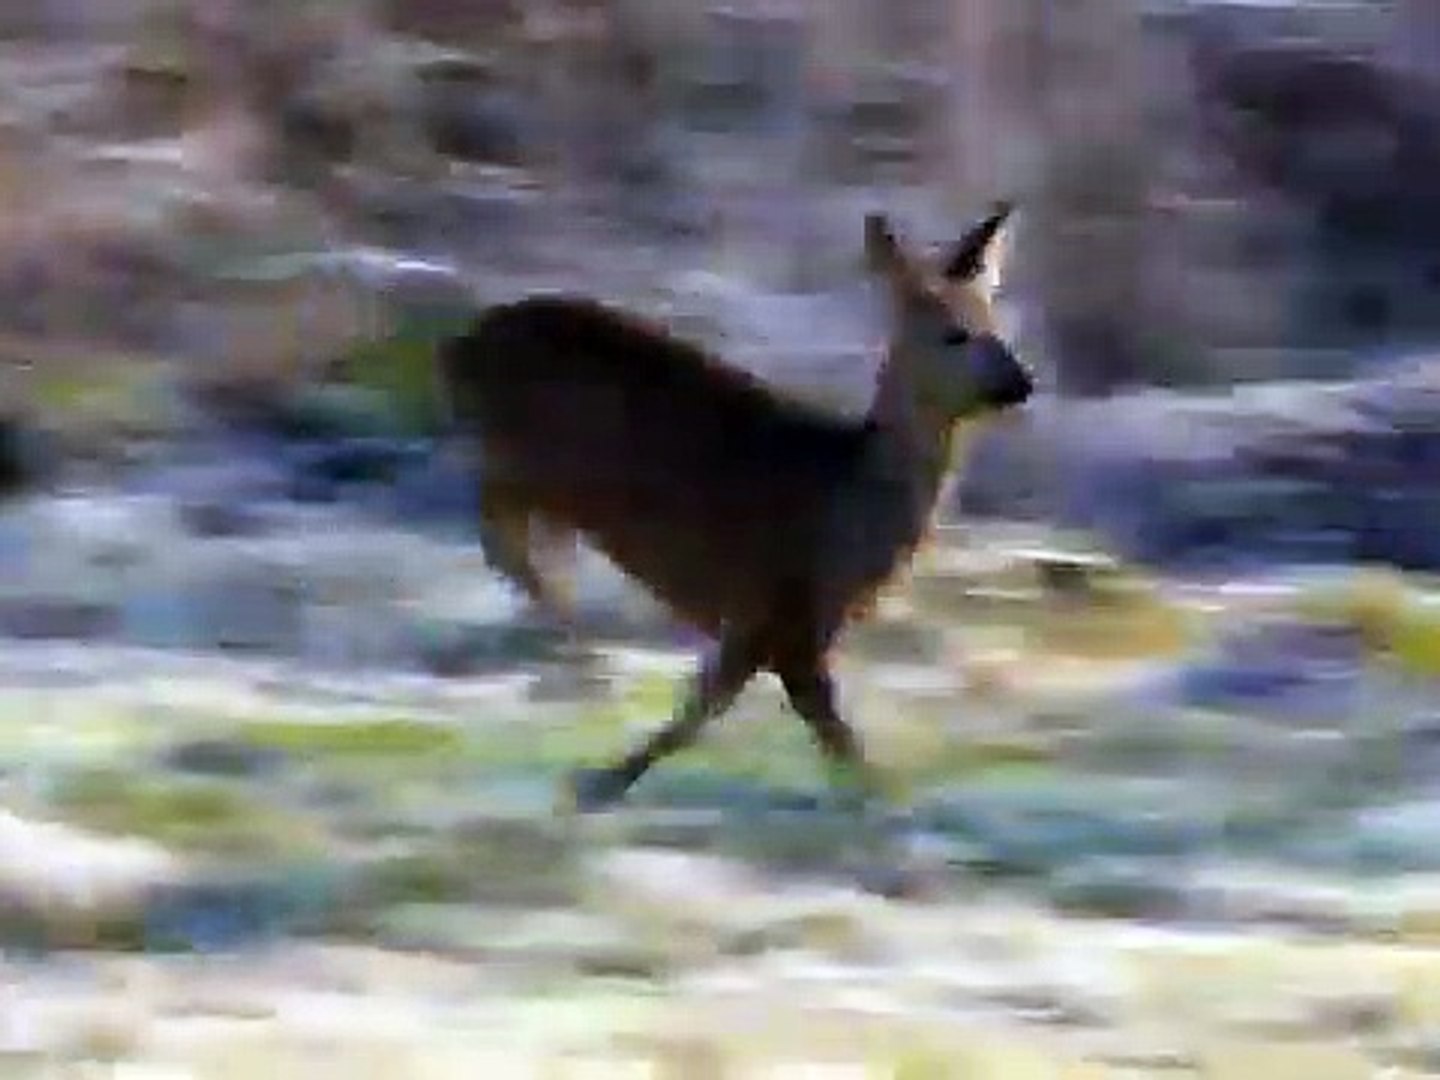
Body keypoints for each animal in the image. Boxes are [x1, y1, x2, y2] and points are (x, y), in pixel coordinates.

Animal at [436, 204, 1032, 813]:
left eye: (1000, 327)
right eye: (954, 334)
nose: (1021, 383)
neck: (851, 498)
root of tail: (458, 346)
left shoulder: (767, 620)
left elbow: (718, 707)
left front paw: (603, 778)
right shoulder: (783, 608)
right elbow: (799, 727)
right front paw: (599, 782)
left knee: (521, 543)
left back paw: (573, 655)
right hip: (532, 459)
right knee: (503, 534)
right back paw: (581, 657)